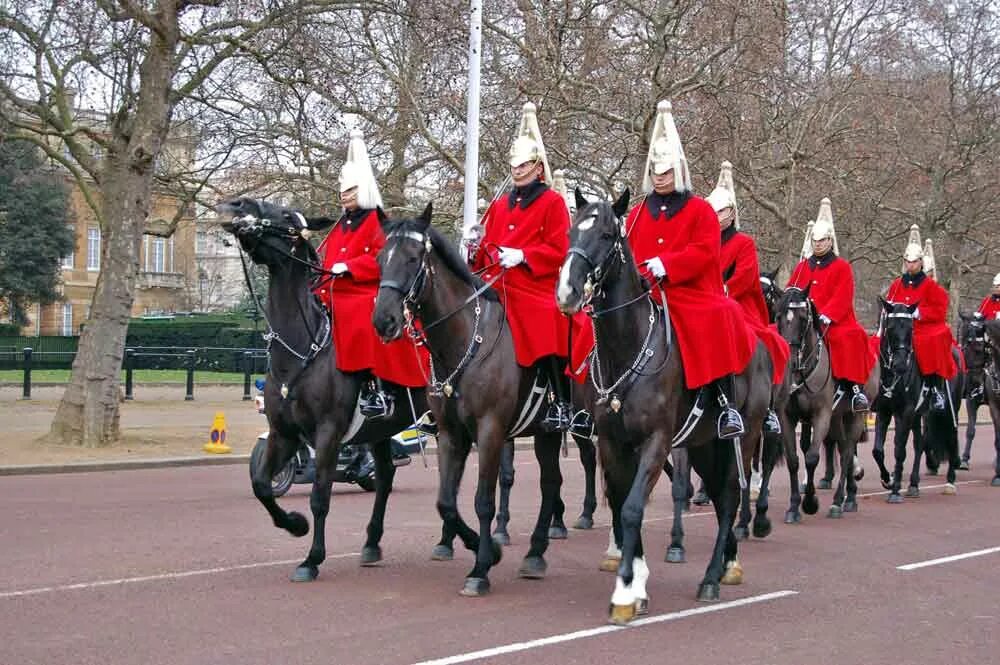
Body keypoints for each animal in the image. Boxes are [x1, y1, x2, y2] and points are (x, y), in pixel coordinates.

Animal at [221, 196, 428, 580]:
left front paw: (312, 559)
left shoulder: (328, 433)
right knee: (386, 475)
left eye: (287, 216)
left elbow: (320, 496)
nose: (236, 204)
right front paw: (295, 524)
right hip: (381, 429)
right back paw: (372, 544)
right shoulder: (283, 434)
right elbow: (261, 484)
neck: (305, 347)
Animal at [374, 204, 580, 596]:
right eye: (379, 258)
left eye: (413, 258)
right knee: (551, 483)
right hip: (545, 433)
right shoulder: (450, 433)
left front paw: (481, 568)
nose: (383, 321)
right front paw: (484, 550)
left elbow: (483, 500)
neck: (465, 340)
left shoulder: (490, 430)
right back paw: (535, 553)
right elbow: (446, 502)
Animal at [560, 191, 768, 624]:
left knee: (730, 495)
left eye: (606, 234)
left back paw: (712, 576)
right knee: (720, 496)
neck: (628, 351)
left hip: (744, 437)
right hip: (705, 444)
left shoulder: (656, 442)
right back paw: (726, 563)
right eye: (571, 232)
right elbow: (621, 503)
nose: (567, 292)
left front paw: (625, 590)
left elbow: (633, 508)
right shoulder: (613, 443)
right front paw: (637, 581)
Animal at [872, 300, 964, 498]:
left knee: (951, 435)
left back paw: (950, 480)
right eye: (890, 327)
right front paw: (888, 479)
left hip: (950, 407)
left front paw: (895, 490)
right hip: (919, 414)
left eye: (910, 328)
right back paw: (914, 484)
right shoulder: (885, 411)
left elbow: (899, 450)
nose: (900, 365)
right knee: (919, 443)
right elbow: (878, 450)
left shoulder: (906, 411)